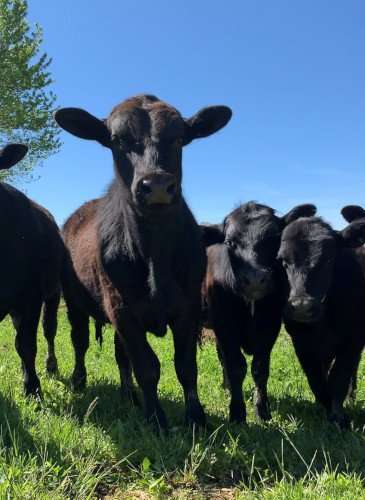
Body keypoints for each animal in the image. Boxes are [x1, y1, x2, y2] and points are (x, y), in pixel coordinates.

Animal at [0, 143, 64, 396]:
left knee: (49, 330)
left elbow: (26, 345)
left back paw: (50, 367)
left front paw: (32, 388)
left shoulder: (30, 297)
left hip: (54, 292)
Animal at [54, 94, 230, 430]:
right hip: (74, 301)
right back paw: (80, 380)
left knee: (120, 355)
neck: (155, 255)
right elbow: (147, 366)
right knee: (80, 342)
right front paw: (156, 419)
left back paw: (128, 395)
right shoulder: (122, 308)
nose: (157, 185)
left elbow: (185, 366)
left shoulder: (187, 307)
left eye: (179, 138)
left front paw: (196, 418)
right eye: (118, 140)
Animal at [199, 201, 316, 424]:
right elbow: (236, 366)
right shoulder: (225, 324)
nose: (254, 280)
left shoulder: (270, 325)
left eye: (274, 240)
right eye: (230, 242)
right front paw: (237, 413)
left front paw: (262, 411)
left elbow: (260, 368)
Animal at [278, 213, 364, 428]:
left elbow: (338, 378)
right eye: (283, 261)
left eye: (329, 258)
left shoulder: (353, 340)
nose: (301, 306)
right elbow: (316, 380)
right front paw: (323, 407)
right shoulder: (302, 344)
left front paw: (339, 417)